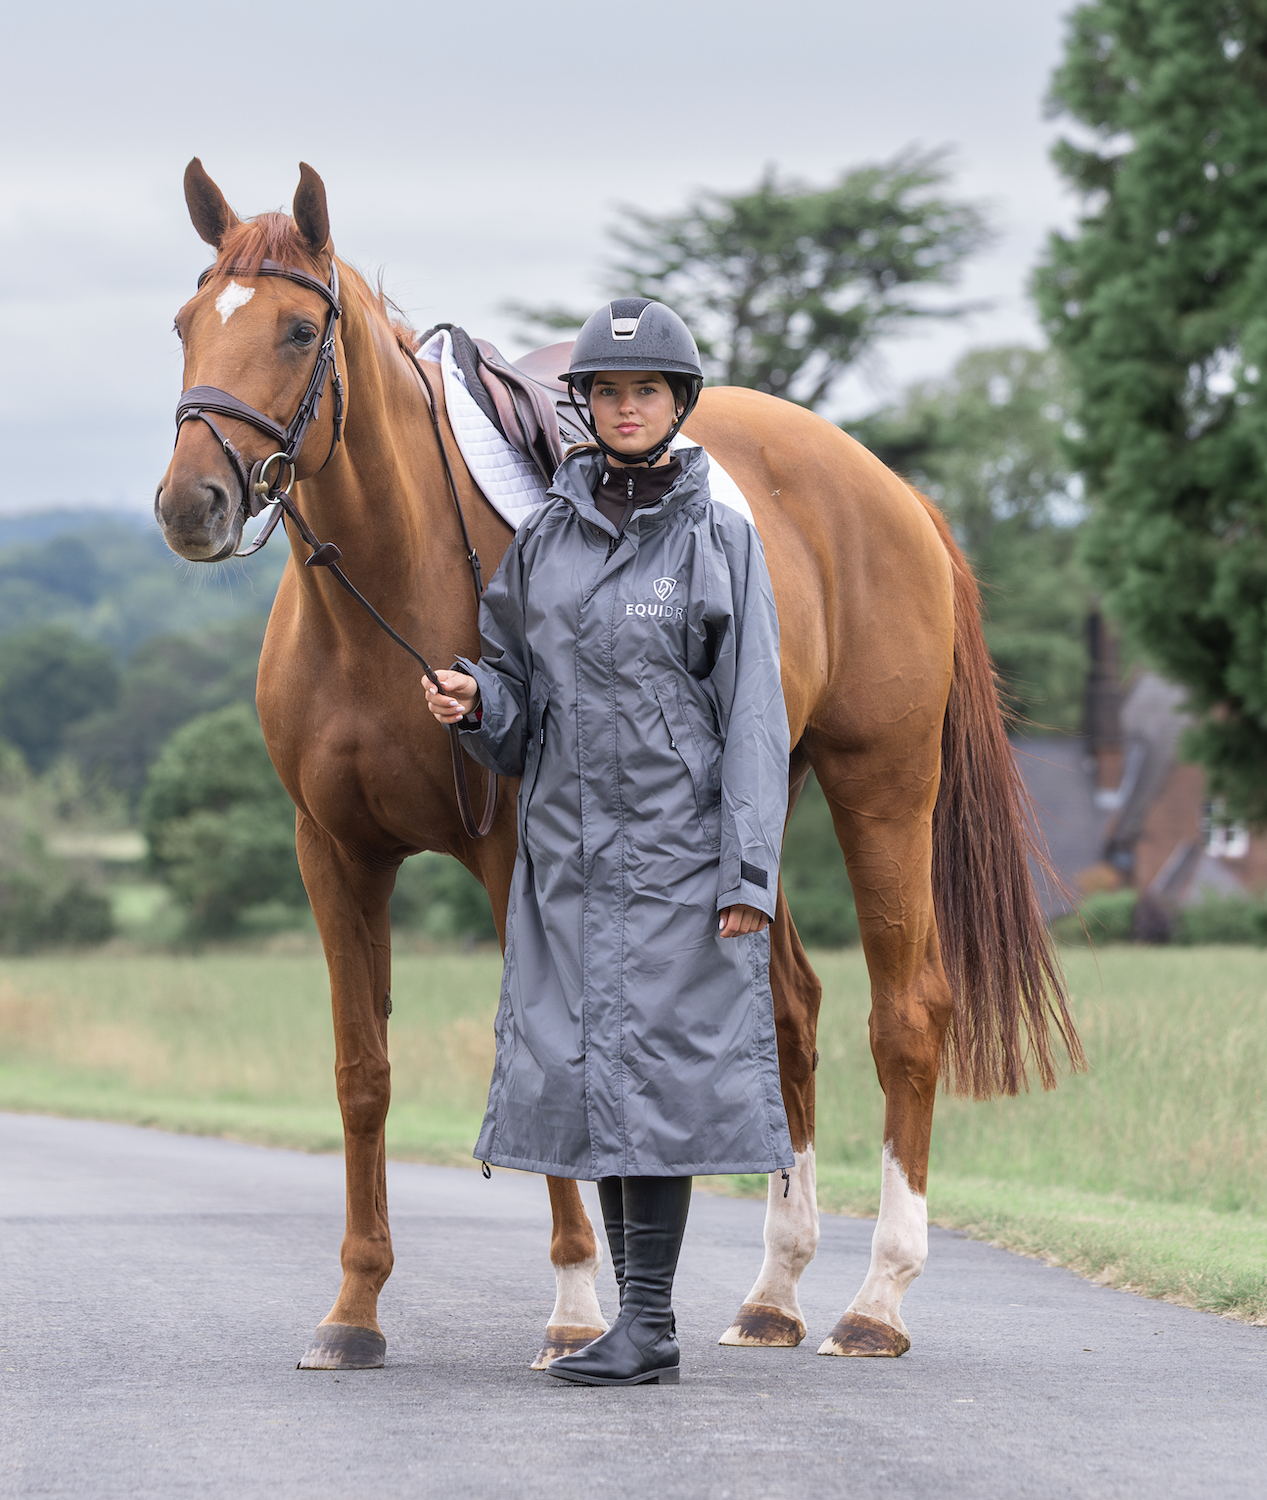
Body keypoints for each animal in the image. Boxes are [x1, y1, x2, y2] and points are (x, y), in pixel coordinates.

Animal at [155, 160, 1082, 1371]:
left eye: (300, 329)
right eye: (185, 327)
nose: (191, 504)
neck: (388, 596)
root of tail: (891, 491)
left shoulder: (515, 856)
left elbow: (544, 1055)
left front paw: (573, 1308)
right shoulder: (335, 856)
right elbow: (364, 1075)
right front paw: (354, 1310)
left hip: (881, 789)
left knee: (907, 1017)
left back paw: (876, 1299)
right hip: (750, 807)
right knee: (790, 1014)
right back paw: (774, 1291)